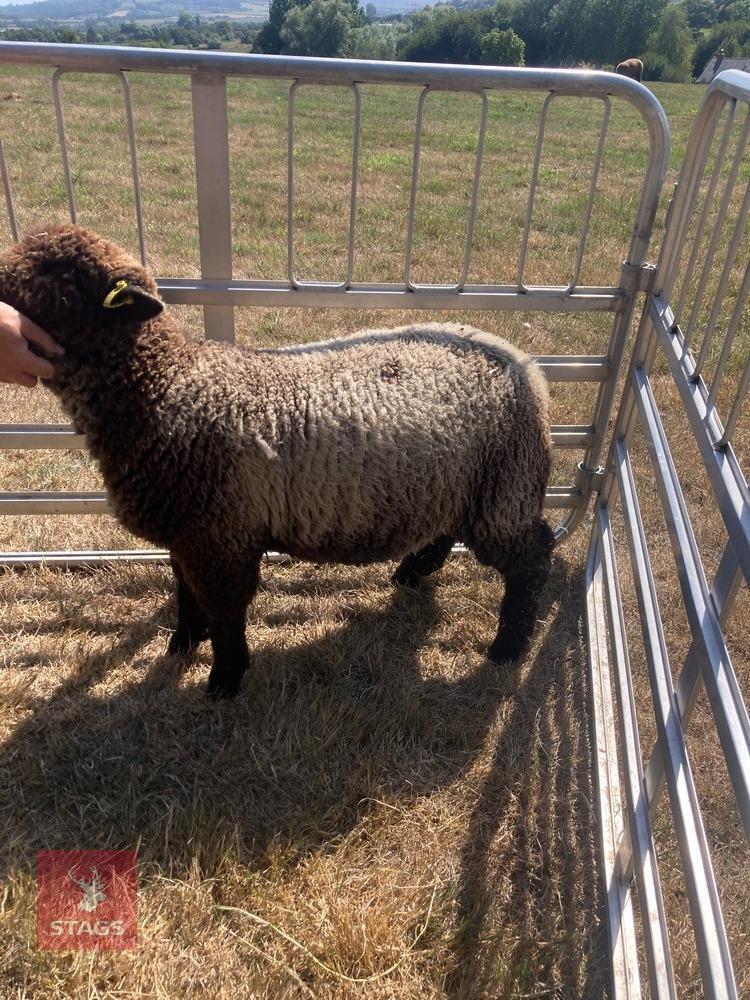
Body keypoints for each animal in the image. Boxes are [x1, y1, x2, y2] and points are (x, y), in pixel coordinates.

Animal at [0, 223, 554, 698]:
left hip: (504, 486)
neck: (166, 388)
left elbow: (224, 613)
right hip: (449, 480)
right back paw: (413, 572)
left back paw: (507, 646)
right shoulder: (189, 532)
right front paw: (182, 645)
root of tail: (526, 369)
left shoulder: (219, 537)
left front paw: (224, 680)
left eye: (59, 273)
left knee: (533, 557)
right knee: (447, 529)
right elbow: (184, 594)